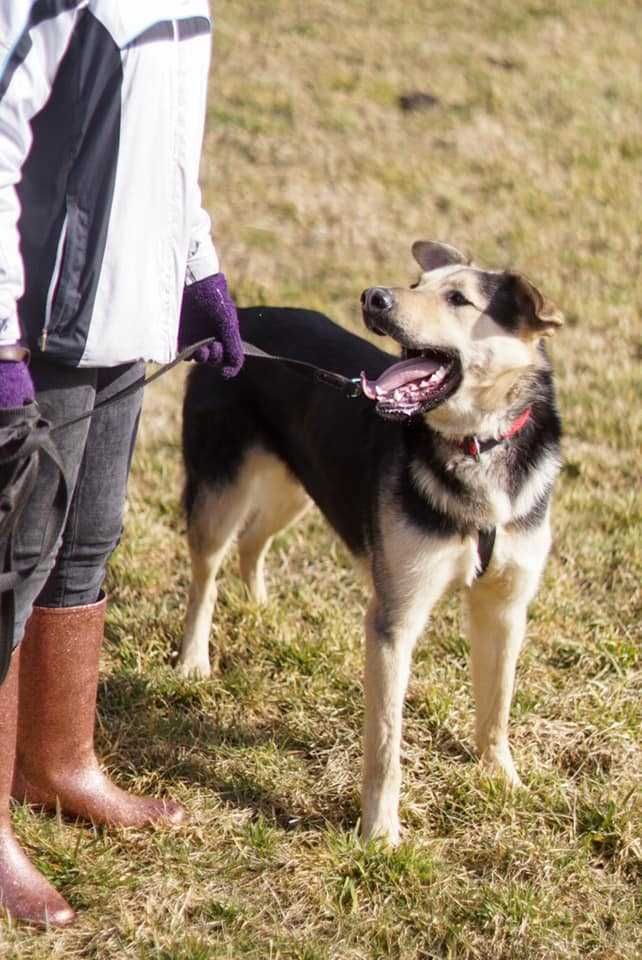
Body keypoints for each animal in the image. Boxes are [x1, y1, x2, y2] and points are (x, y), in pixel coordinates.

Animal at [175, 242, 560, 848]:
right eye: (416, 284)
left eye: (458, 298)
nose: (373, 297)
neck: (477, 447)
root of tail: (242, 318)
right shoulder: (393, 618)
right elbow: (385, 744)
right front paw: (380, 833)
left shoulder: (505, 607)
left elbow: (496, 706)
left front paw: (502, 778)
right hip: (221, 491)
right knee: (205, 576)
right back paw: (194, 660)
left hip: (301, 487)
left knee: (253, 542)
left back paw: (261, 608)